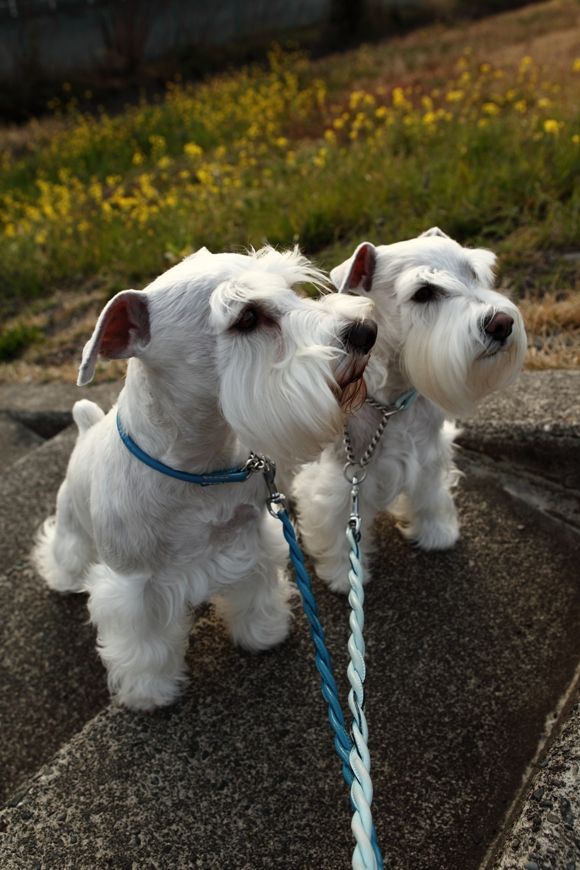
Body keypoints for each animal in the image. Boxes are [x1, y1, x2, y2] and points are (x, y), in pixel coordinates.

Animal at [34, 249, 376, 712]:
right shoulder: (132, 586)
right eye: (247, 317)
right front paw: (150, 692)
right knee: (67, 548)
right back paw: (63, 577)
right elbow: (143, 644)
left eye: (290, 289)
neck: (199, 471)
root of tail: (86, 426)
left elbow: (255, 592)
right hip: (71, 518)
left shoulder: (250, 541)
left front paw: (263, 633)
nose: (367, 331)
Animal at [292, 228, 528, 592]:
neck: (390, 400)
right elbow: (338, 523)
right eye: (424, 292)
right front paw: (343, 575)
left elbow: (429, 495)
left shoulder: (427, 452)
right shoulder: (340, 477)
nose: (501, 324)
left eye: (472, 273)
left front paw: (436, 533)